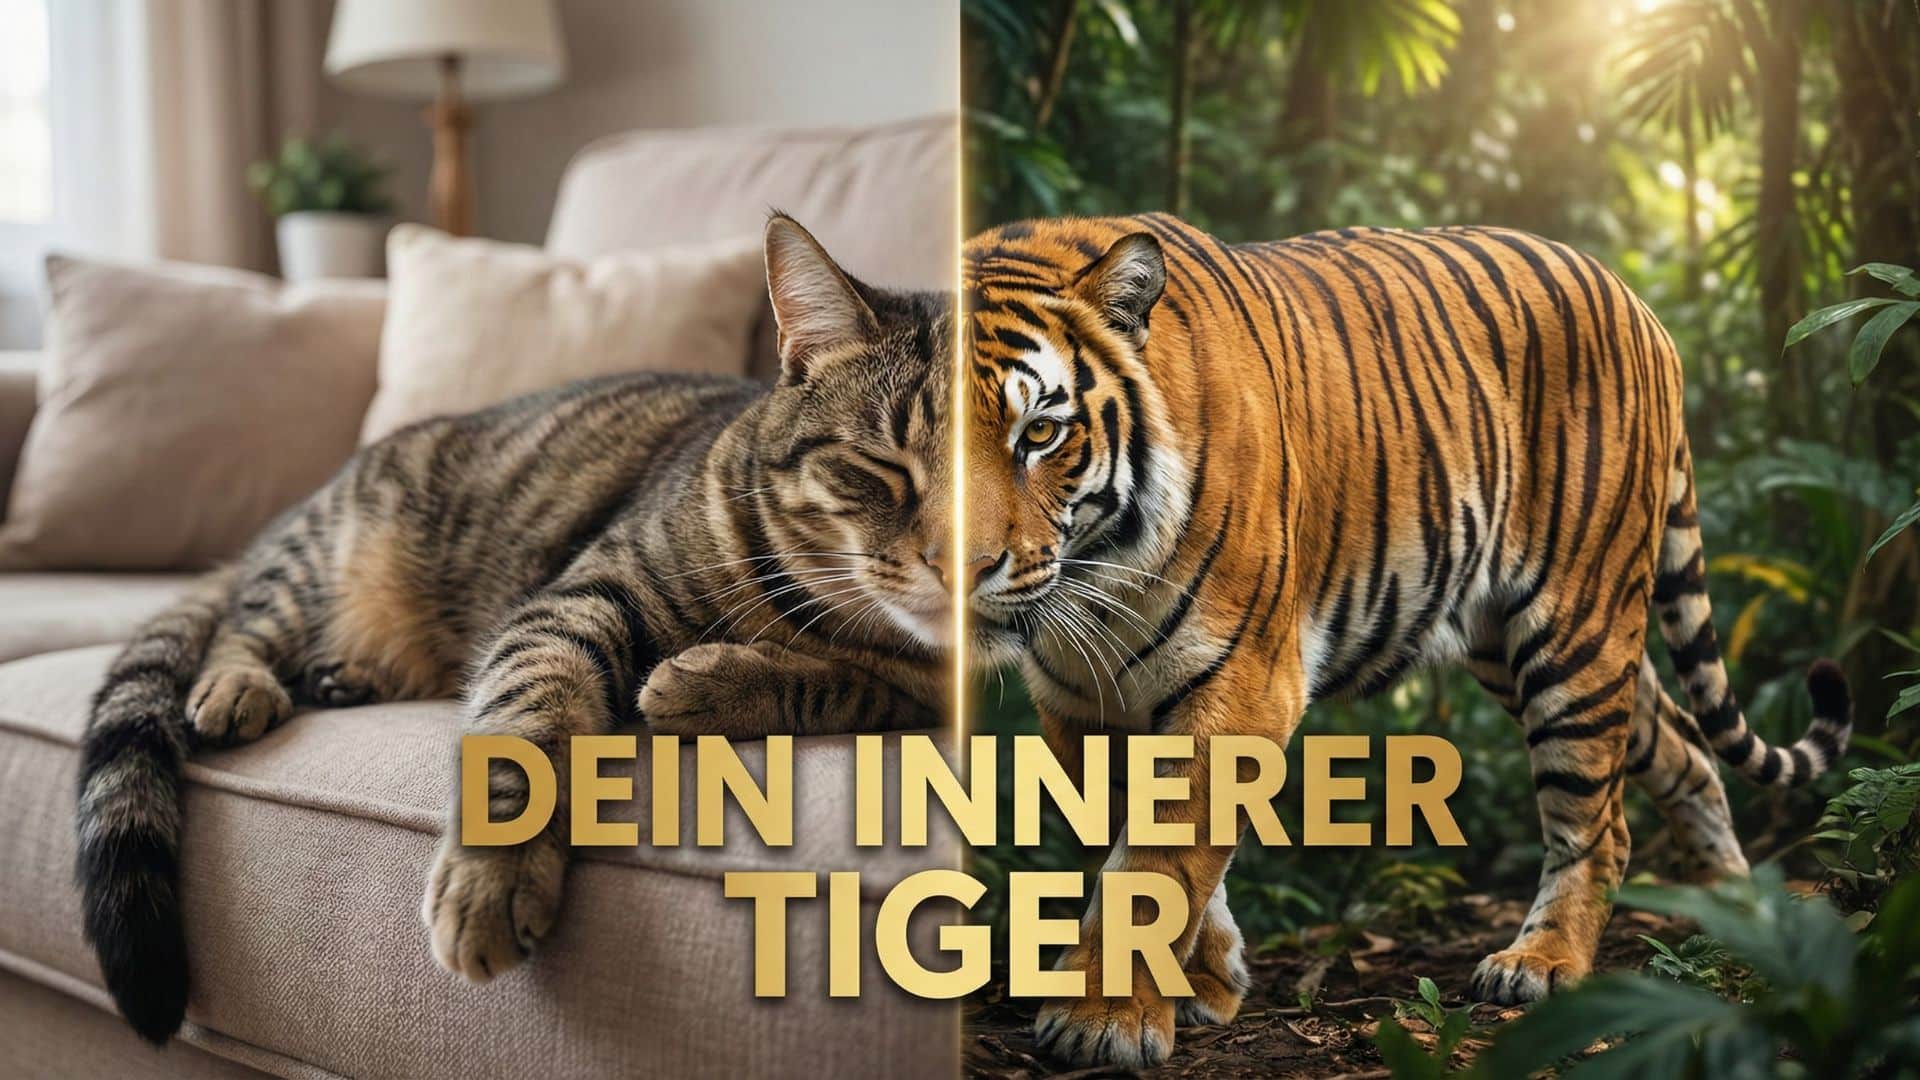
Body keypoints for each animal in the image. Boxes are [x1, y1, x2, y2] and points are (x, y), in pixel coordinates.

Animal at [75, 215, 953, 1044]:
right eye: (880, 467)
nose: (954, 559)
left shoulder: (926, 693)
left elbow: (844, 686)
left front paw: (707, 682)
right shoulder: (577, 599)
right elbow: (531, 716)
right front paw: (496, 875)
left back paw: (345, 677)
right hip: (321, 560)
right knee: (242, 624)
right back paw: (239, 686)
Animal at [961, 213, 1853, 1068]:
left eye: (1039, 434)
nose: (965, 565)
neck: (1096, 577)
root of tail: (1637, 302)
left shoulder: (1245, 679)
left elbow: (1159, 863)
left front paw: (1104, 1021)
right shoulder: (1085, 701)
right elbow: (1144, 847)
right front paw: (1209, 982)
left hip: (1575, 624)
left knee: (1598, 819)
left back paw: (1542, 963)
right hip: (1517, 642)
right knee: (1682, 746)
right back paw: (1738, 912)